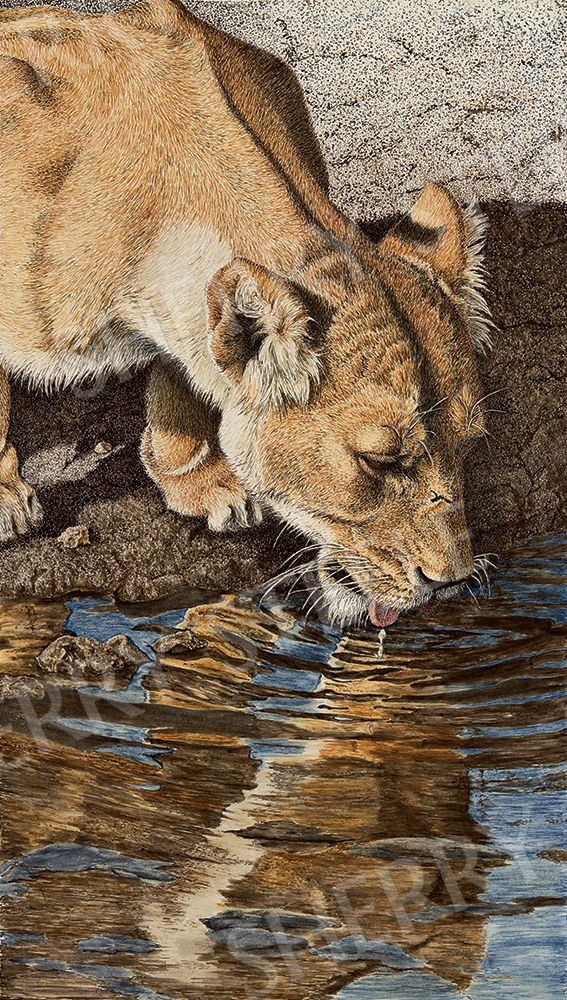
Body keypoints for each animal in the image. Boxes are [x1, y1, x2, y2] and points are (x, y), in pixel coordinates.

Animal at [0, 0, 494, 627]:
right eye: (377, 462)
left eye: (471, 446)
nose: (451, 582)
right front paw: (6, 502)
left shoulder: (189, 321)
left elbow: (181, 385)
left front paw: (201, 484)